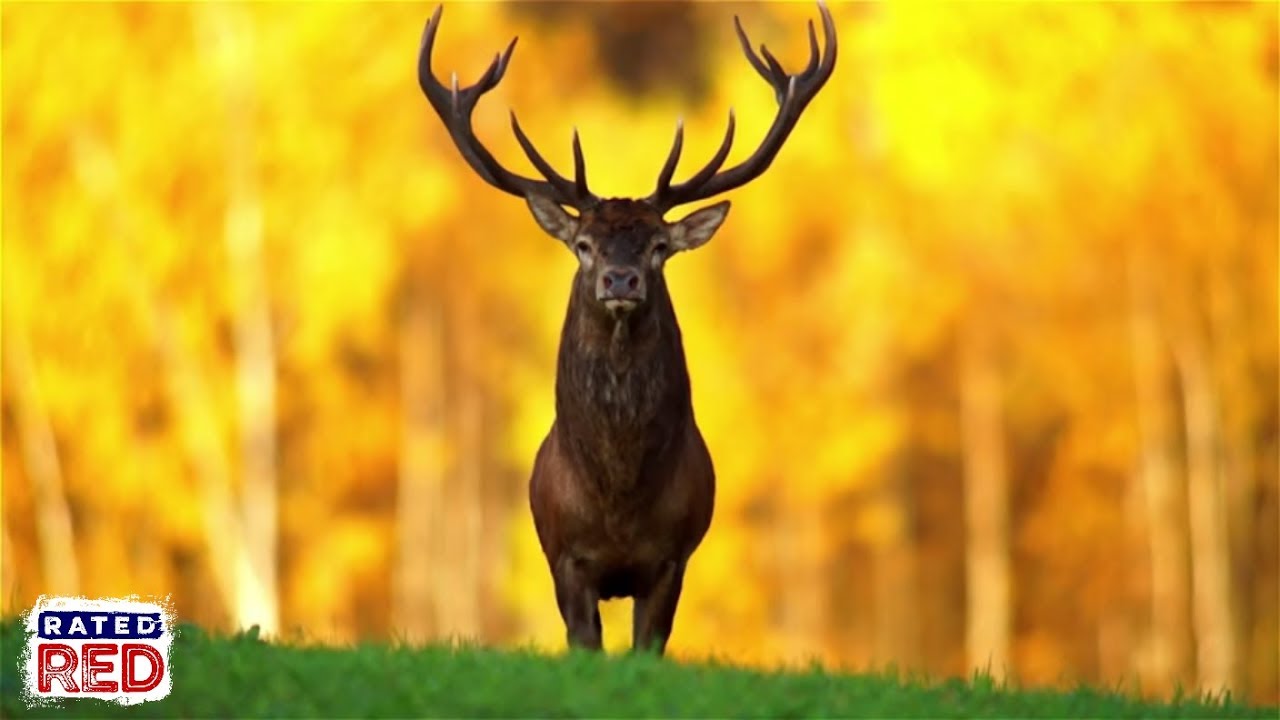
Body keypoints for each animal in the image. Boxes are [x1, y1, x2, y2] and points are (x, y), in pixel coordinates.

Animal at [416, 1, 836, 656]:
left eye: (659, 245)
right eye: (584, 244)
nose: (621, 279)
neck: (618, 498)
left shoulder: (671, 559)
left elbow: (649, 646)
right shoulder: (565, 558)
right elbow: (584, 643)